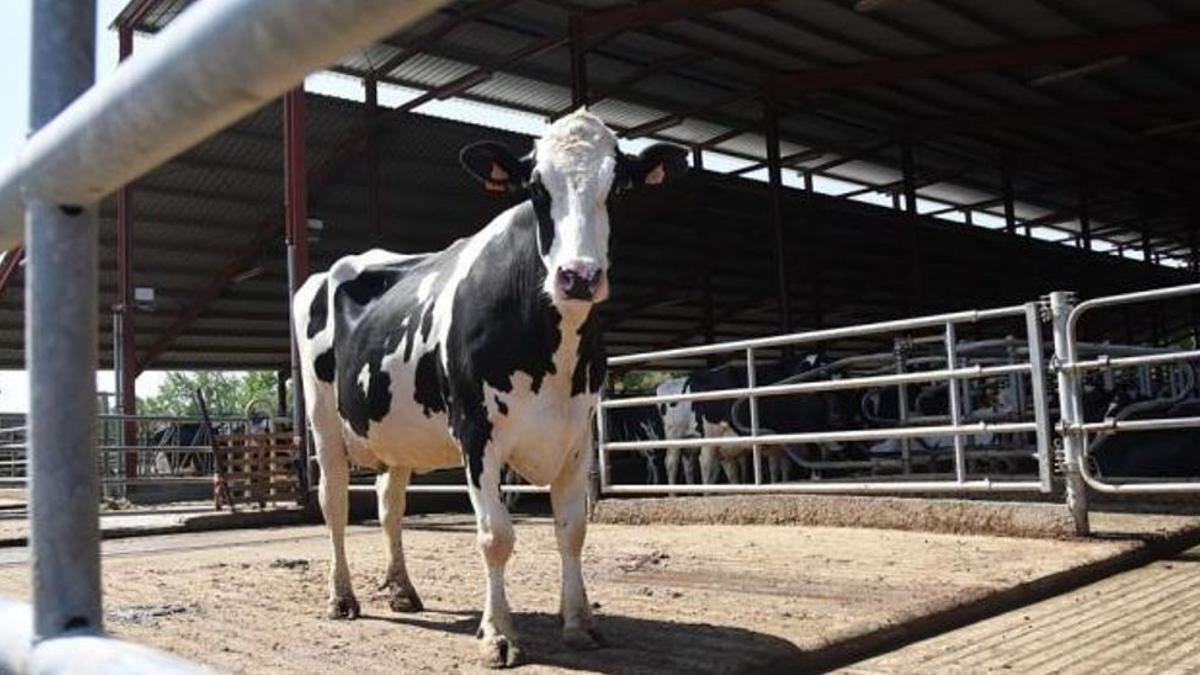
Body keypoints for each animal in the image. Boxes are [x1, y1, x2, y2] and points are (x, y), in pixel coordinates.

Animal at [292, 109, 685, 667]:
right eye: (537, 188)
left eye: (618, 187)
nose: (578, 276)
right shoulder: (477, 432)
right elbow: (496, 536)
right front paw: (499, 633)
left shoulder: (578, 435)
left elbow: (573, 531)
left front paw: (579, 623)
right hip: (324, 419)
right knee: (335, 503)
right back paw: (341, 597)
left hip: (397, 431)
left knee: (390, 503)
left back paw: (402, 589)